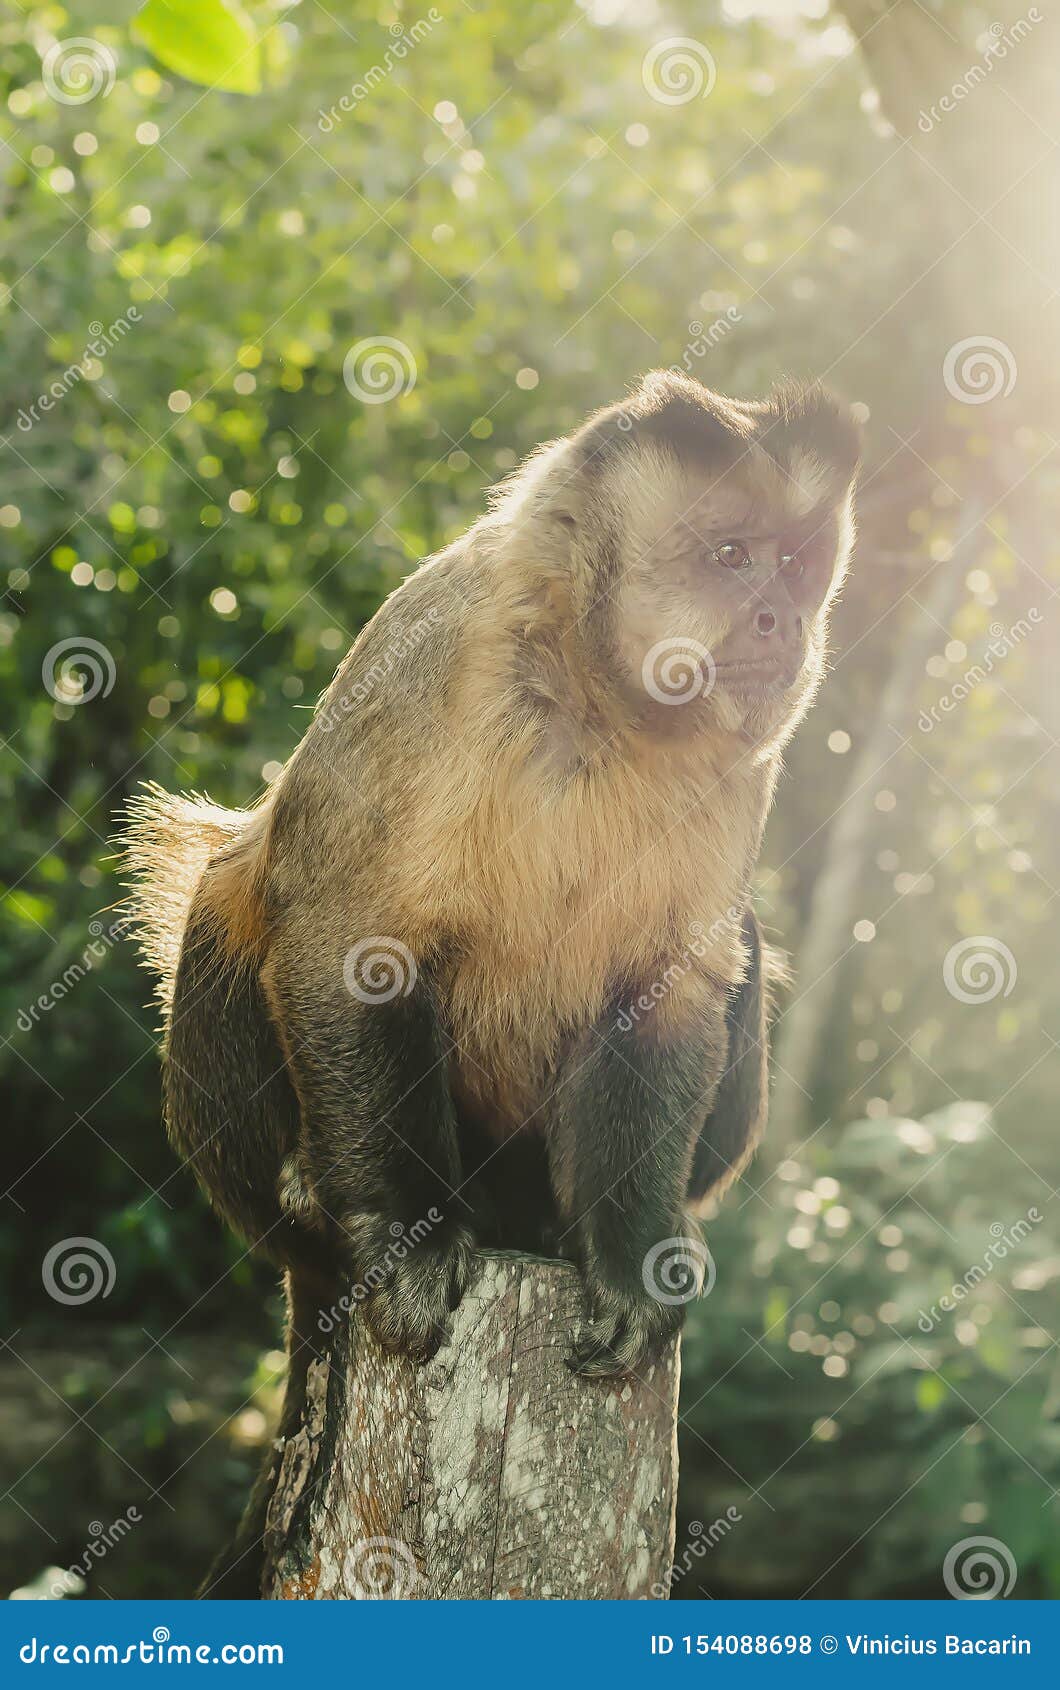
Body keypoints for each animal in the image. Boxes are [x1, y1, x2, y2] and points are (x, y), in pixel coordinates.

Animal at [122, 370, 862, 1385]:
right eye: (731, 555)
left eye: (795, 564)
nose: (780, 617)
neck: (593, 703)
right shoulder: (433, 657)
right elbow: (349, 950)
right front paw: (408, 1239)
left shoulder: (747, 760)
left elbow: (668, 990)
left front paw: (628, 1259)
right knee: (225, 893)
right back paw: (314, 1205)